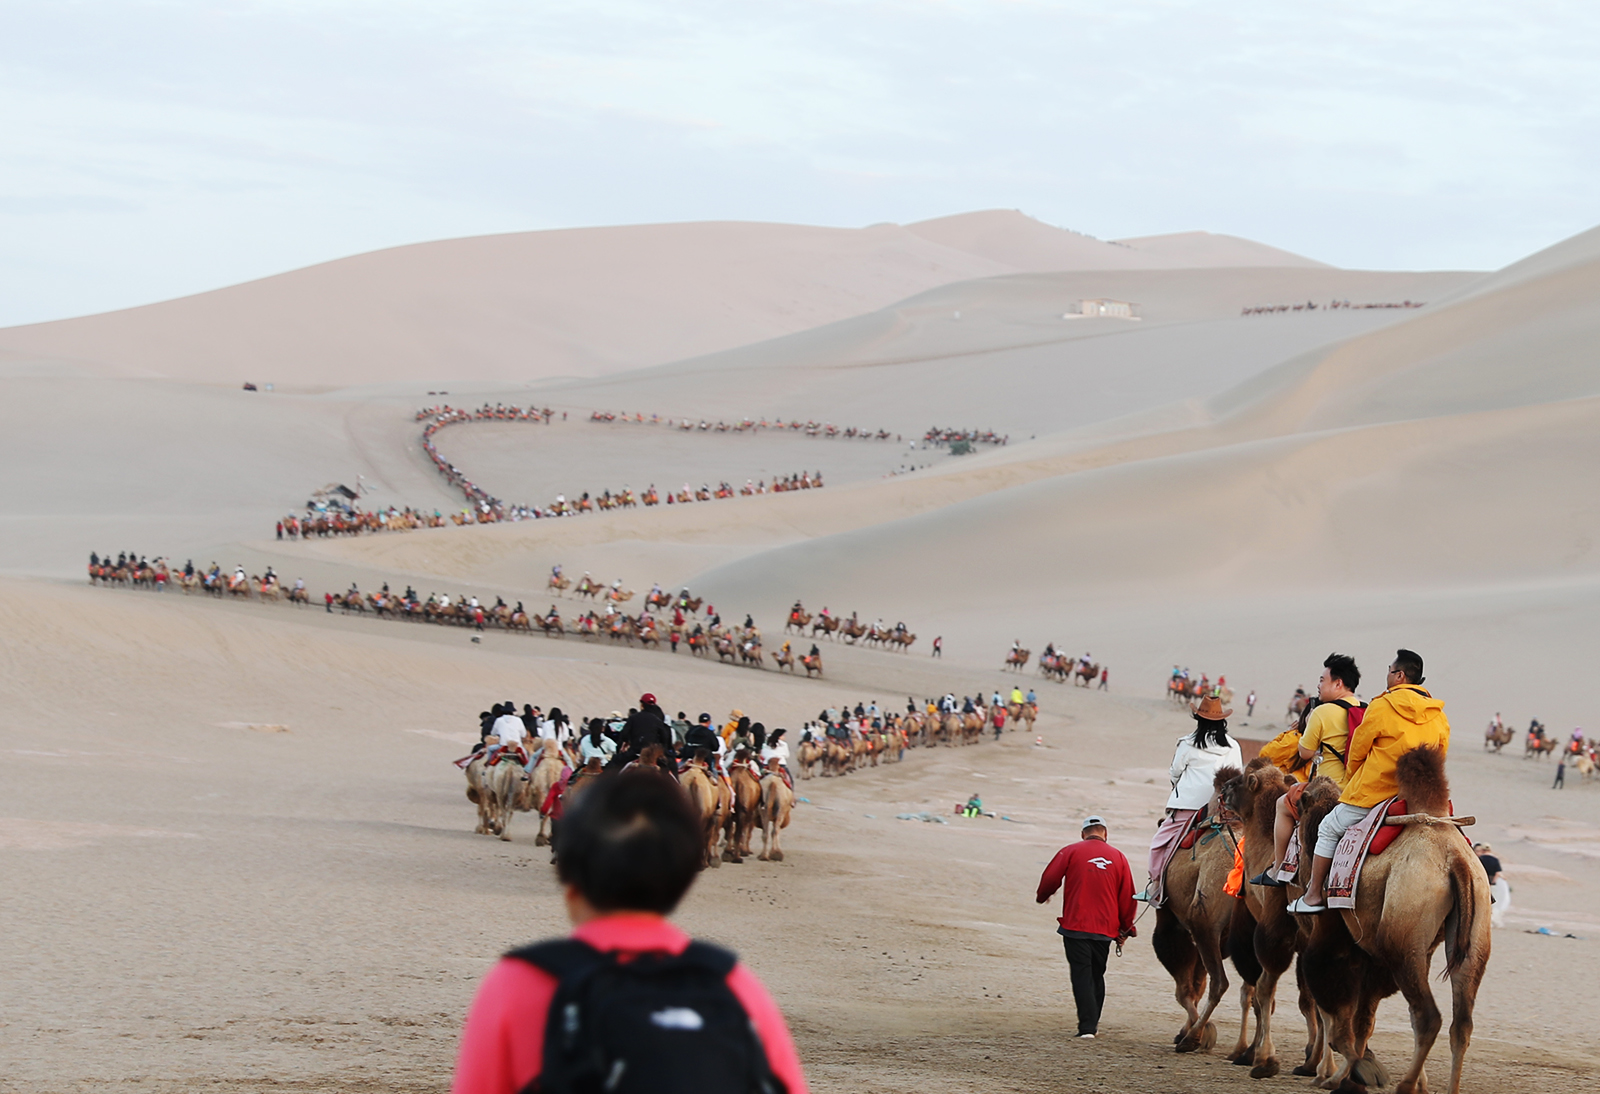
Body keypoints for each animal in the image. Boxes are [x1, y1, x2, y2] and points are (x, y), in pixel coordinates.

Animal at [1158, 764, 1254, 1055]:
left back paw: (1192, 1039)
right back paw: (1246, 1050)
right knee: (1251, 989)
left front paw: (1194, 1033)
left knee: (1220, 983)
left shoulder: (1172, 921)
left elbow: (1185, 988)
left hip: (1204, 922)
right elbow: (1196, 984)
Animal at [1299, 748, 1484, 1094]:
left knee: (1427, 1017)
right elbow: (1360, 1017)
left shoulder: (1332, 936)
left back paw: (1404, 1085)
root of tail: (1457, 862)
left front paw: (1334, 1075)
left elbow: (1334, 1007)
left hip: (1401, 942)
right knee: (1461, 1022)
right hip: (1472, 937)